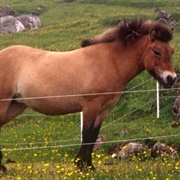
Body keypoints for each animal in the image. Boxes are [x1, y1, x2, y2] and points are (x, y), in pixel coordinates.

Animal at [0, 19, 176, 171]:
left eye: (172, 51)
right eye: (156, 52)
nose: (171, 79)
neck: (110, 61)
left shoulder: (103, 109)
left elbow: (93, 136)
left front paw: (89, 166)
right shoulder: (91, 105)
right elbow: (87, 134)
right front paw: (81, 166)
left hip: (15, 106)